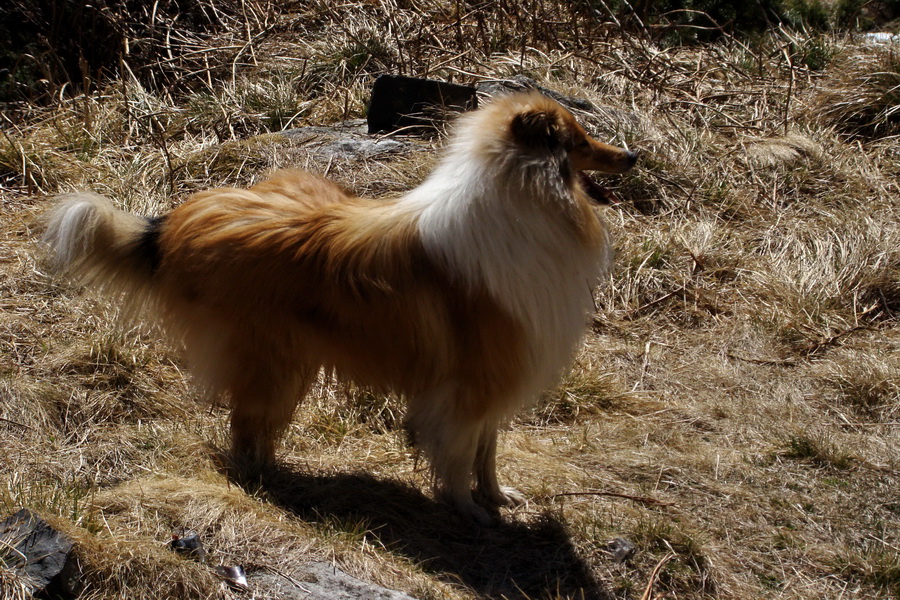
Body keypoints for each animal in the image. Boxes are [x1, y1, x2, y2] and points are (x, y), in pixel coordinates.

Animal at [40, 90, 632, 524]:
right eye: (578, 140)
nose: (632, 155)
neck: (526, 202)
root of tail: (179, 220)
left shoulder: (499, 378)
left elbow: (487, 450)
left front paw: (497, 496)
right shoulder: (472, 383)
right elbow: (461, 453)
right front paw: (467, 510)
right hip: (271, 359)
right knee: (245, 424)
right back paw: (263, 482)